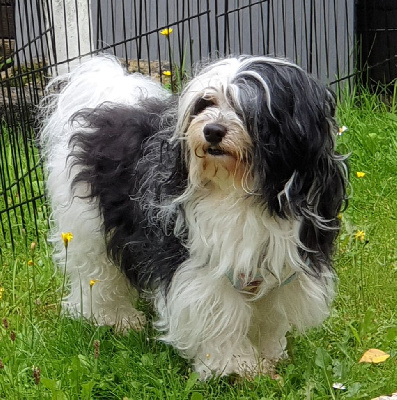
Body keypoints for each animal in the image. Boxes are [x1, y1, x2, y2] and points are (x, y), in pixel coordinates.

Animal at [38, 54, 344, 378]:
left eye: (247, 109)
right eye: (205, 103)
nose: (212, 131)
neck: (240, 192)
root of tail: (110, 103)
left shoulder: (282, 263)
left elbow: (268, 316)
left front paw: (268, 358)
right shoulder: (202, 266)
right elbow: (222, 315)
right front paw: (235, 366)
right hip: (88, 227)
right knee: (98, 276)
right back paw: (113, 318)